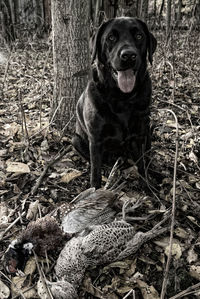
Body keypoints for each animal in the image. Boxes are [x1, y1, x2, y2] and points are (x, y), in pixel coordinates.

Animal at [72, 16, 157, 189]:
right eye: (111, 38)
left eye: (139, 36)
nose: (129, 56)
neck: (121, 97)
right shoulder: (96, 139)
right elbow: (95, 172)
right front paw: (95, 191)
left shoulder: (139, 135)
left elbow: (142, 165)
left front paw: (148, 188)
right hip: (76, 140)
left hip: (148, 130)